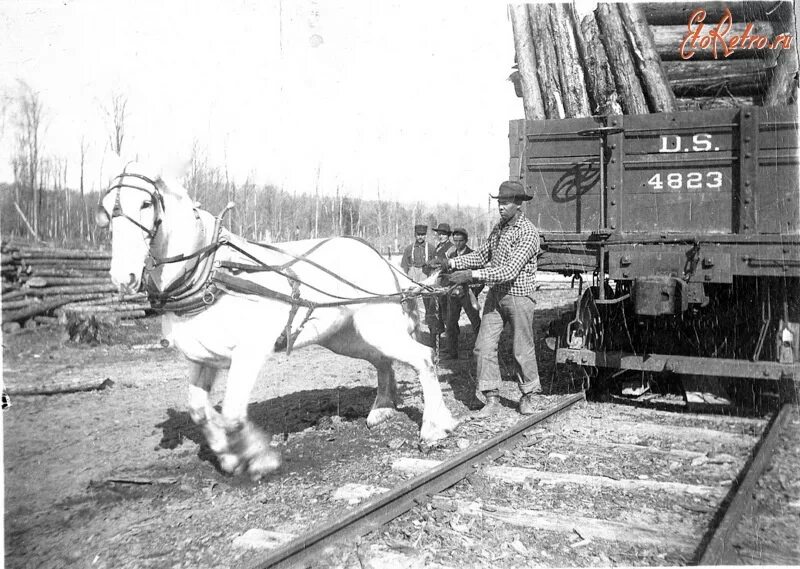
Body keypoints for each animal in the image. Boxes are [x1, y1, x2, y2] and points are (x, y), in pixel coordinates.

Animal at [95, 163, 456, 480]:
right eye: (106, 209)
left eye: (145, 203)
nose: (123, 277)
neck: (211, 271)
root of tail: (383, 260)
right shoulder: (202, 357)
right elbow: (200, 410)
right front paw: (228, 456)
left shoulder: (248, 353)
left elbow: (233, 414)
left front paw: (258, 458)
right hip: (347, 337)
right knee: (384, 361)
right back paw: (382, 408)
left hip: (376, 328)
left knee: (422, 357)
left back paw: (435, 427)